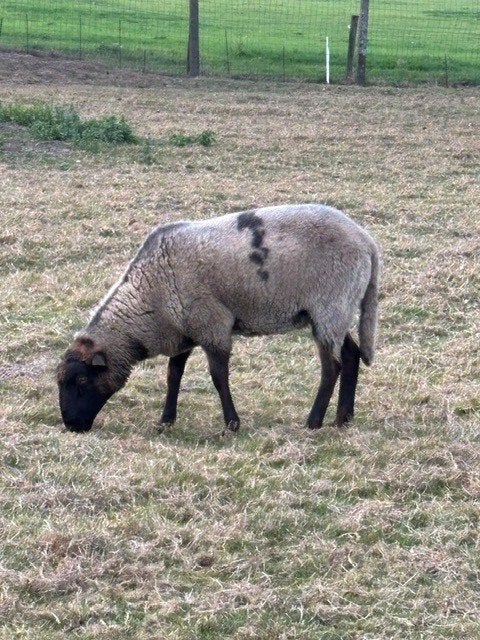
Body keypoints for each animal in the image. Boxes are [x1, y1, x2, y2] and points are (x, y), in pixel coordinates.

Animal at [57, 204, 380, 434]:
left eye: (82, 380)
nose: (71, 426)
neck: (150, 294)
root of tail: (366, 241)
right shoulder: (185, 330)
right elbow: (173, 375)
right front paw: (166, 420)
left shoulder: (212, 326)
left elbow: (218, 377)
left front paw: (231, 424)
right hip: (337, 309)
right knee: (350, 355)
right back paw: (343, 419)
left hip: (329, 305)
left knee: (332, 367)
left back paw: (313, 422)